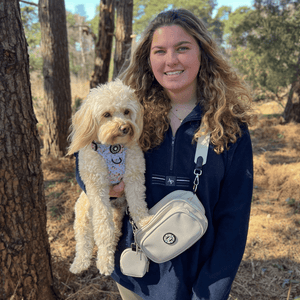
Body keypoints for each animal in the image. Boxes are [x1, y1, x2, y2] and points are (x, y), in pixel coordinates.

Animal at [68, 79, 152, 274]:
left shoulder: (134, 178)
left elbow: (138, 205)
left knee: (114, 233)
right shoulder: (97, 188)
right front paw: (103, 264)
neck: (114, 148)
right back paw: (82, 264)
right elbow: (103, 229)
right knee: (84, 242)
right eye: (106, 114)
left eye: (127, 111)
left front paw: (145, 220)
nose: (125, 127)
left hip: (116, 213)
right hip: (83, 214)